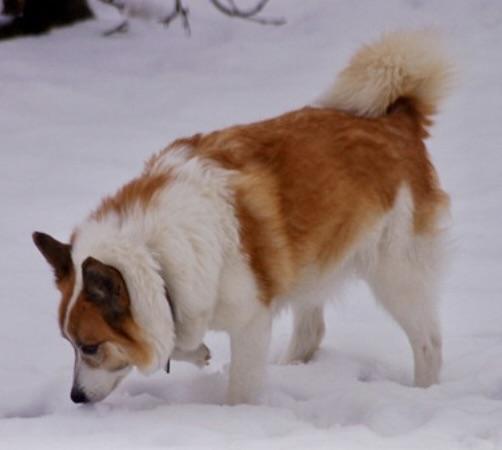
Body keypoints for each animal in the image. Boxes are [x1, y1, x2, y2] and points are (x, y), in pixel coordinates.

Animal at [34, 31, 452, 404]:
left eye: (90, 346)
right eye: (69, 343)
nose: (75, 397)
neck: (156, 256)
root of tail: (397, 118)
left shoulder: (251, 320)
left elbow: (238, 388)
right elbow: (177, 336)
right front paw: (196, 352)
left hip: (396, 273)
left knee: (429, 342)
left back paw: (424, 393)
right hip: (310, 261)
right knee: (312, 330)